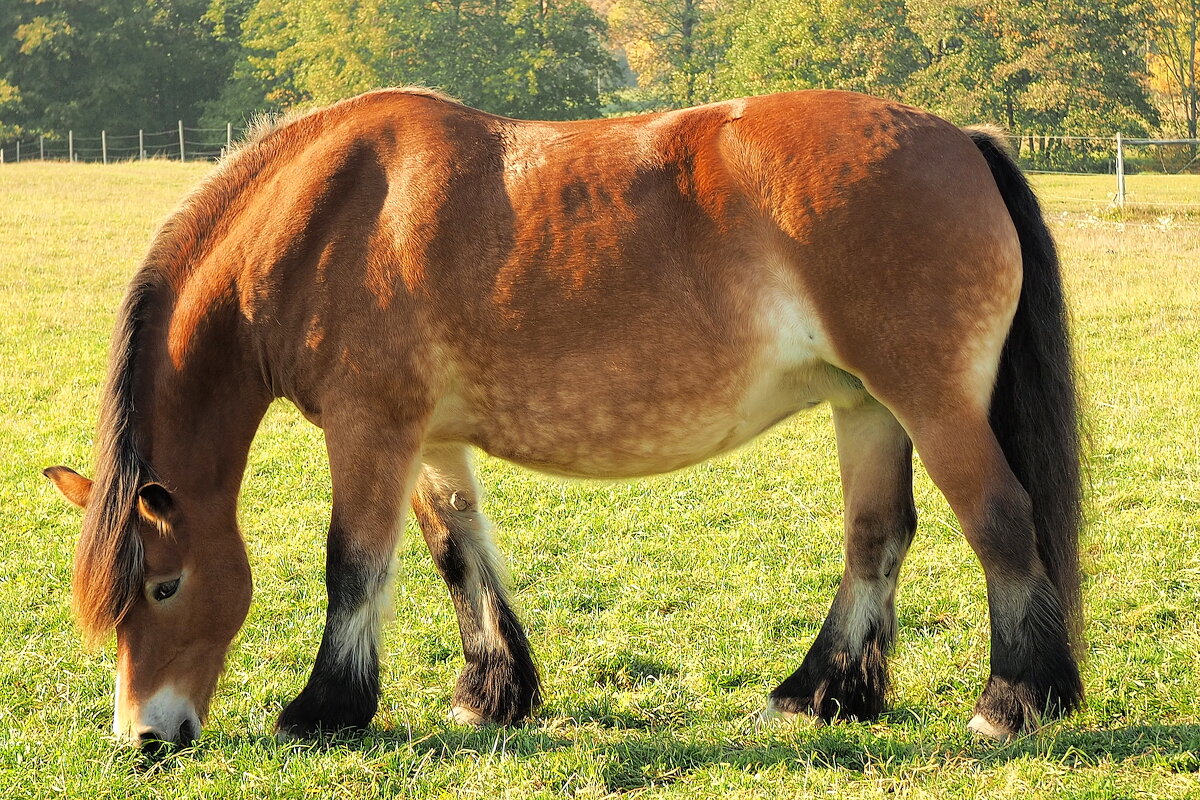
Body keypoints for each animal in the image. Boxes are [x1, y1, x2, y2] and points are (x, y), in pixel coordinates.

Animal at [44, 87, 1089, 753]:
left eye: (165, 586)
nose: (145, 737)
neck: (328, 216)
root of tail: (962, 140)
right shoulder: (430, 438)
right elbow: (456, 553)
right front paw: (490, 693)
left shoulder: (369, 429)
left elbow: (355, 564)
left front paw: (326, 707)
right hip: (866, 407)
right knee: (877, 537)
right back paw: (819, 694)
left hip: (929, 402)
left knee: (999, 522)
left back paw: (1010, 702)